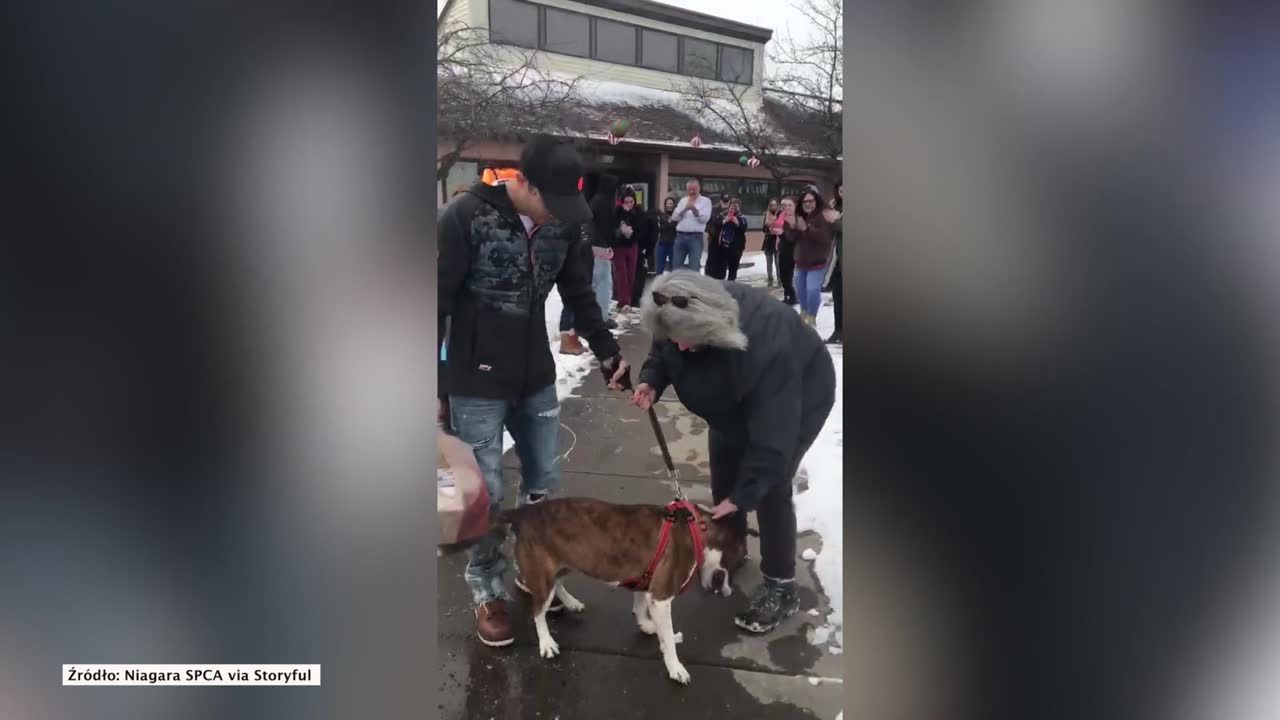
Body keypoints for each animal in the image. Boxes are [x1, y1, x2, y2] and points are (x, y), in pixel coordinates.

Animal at [494, 497, 747, 681]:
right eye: (736, 560)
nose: (728, 592)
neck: (696, 527)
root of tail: (524, 512)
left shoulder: (647, 584)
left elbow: (641, 607)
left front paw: (647, 626)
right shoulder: (661, 598)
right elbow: (666, 635)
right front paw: (675, 666)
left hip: (566, 561)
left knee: (557, 585)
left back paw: (571, 602)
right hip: (543, 573)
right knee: (538, 611)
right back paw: (546, 642)